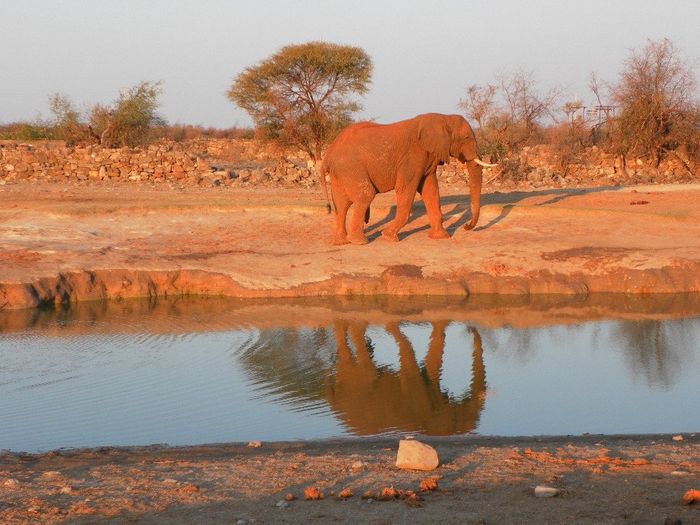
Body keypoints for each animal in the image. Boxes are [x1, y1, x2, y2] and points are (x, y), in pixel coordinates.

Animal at [319, 113, 495, 245]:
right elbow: (406, 189)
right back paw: (360, 241)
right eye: (466, 138)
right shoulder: (412, 157)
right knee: (365, 195)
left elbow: (430, 190)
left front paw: (441, 237)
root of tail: (328, 153)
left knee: (341, 203)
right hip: (351, 168)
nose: (466, 226)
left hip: (342, 172)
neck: (443, 118)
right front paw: (388, 237)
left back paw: (341, 242)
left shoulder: (428, 158)